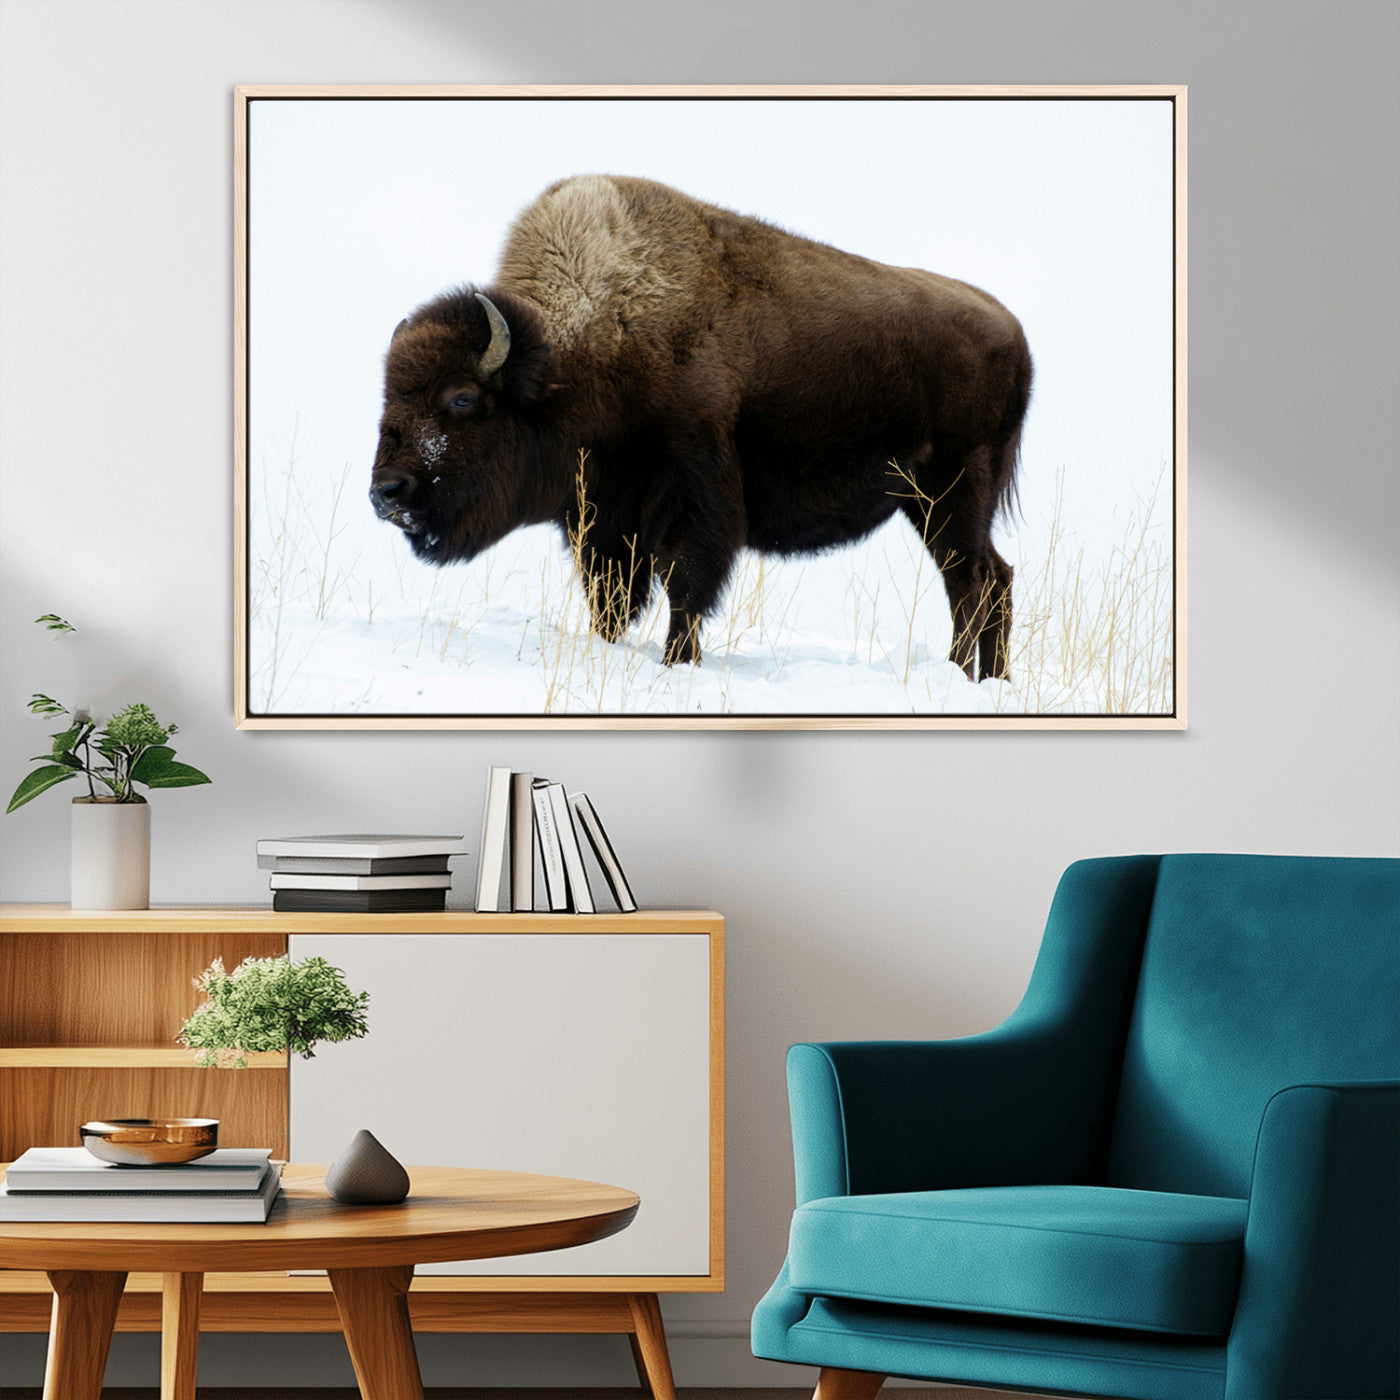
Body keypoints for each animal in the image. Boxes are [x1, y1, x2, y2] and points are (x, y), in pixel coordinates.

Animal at [370, 175, 1032, 677]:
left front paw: (677, 663)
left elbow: (687, 584)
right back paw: (984, 679)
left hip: (953, 493)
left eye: (461, 399)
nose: (386, 492)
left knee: (972, 581)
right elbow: (611, 597)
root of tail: (1014, 330)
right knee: (988, 579)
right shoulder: (603, 516)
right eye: (389, 395)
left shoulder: (694, 494)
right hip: (928, 503)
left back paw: (962, 675)